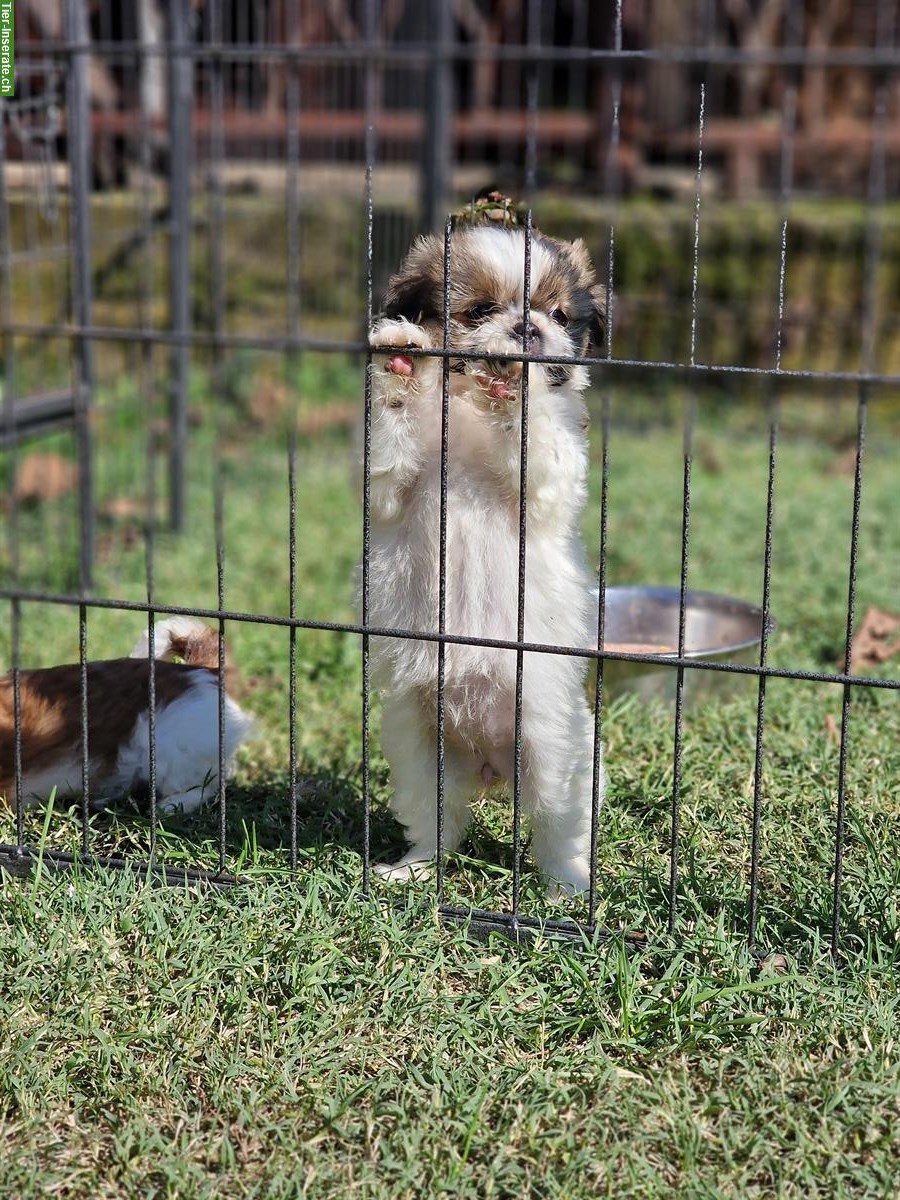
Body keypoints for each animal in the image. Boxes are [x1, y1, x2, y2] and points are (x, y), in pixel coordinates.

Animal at [364, 218, 607, 892]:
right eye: (479, 312)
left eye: (558, 315)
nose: (527, 329)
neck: (473, 411)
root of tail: (490, 764)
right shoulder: (389, 489)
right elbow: (393, 446)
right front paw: (402, 361)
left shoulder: (552, 480)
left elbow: (538, 444)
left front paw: (516, 386)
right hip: (419, 748)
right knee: (438, 824)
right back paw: (414, 871)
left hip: (555, 747)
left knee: (557, 826)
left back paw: (568, 886)